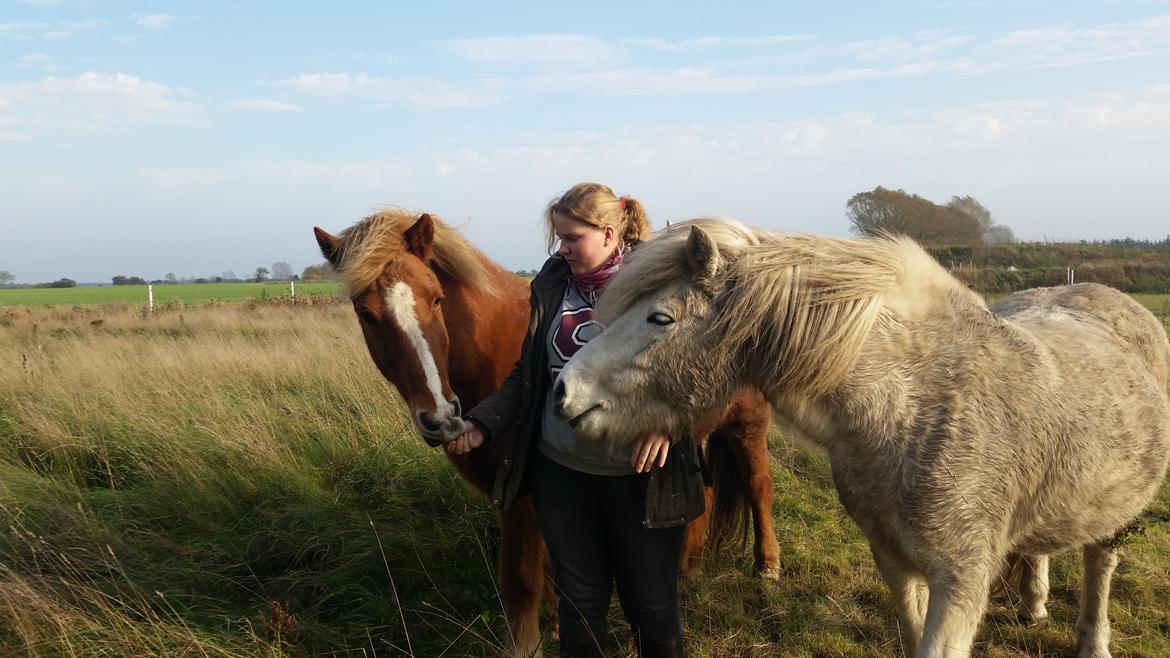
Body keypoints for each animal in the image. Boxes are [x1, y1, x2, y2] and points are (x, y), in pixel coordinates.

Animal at [549, 217, 1170, 650]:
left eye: (660, 318)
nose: (562, 391)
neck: (911, 410)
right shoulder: (893, 560)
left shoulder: (961, 581)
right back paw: (1034, 607)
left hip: (1119, 515)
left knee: (1100, 567)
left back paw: (1093, 642)